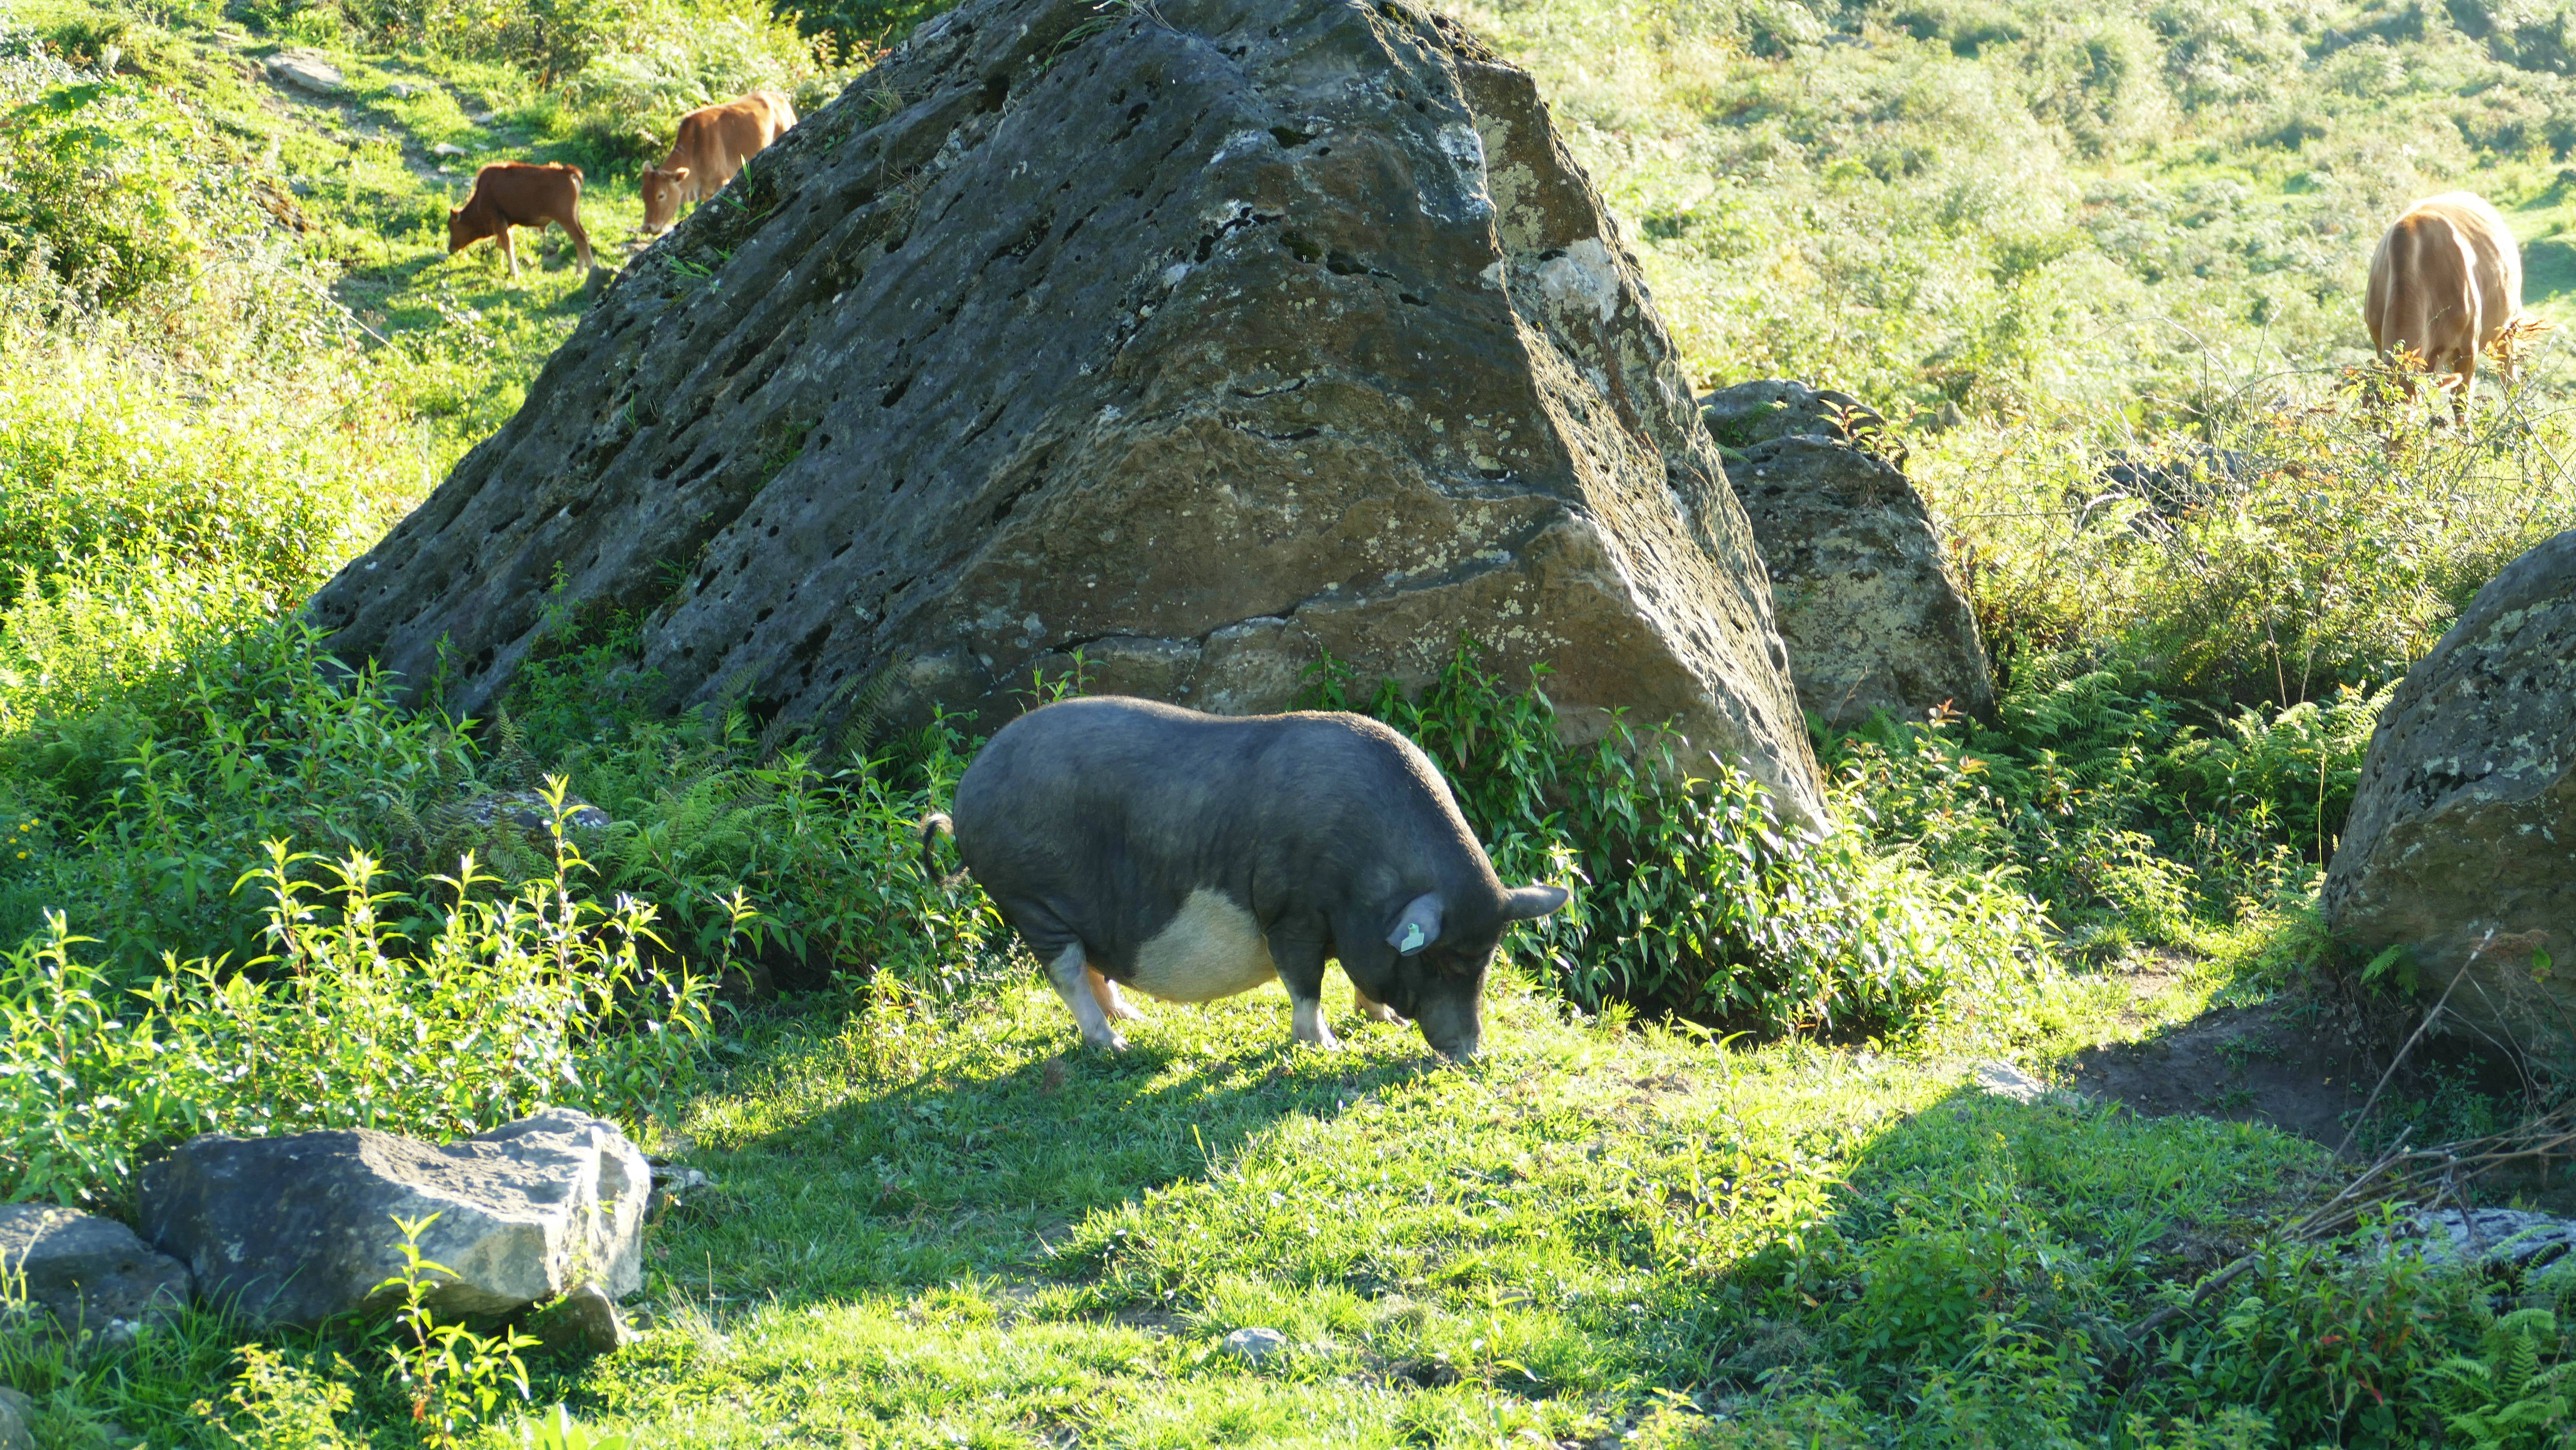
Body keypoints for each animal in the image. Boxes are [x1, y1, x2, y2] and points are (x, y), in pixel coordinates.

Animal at [453, 163, 597, 279]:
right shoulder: (507, 225)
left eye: (452, 226)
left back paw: (589, 271)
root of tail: (568, 171)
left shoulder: (500, 222)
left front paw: (513, 273)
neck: (482, 194)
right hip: (574, 217)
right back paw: (579, 273)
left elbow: (507, 245)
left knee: (581, 240)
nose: (451, 248)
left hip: (566, 220)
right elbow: (503, 244)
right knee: (580, 240)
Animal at [927, 695, 1566, 1061]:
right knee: (1065, 971)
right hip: (1029, 897)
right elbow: (1305, 981)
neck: (1372, 866)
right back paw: (1115, 1045)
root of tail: (964, 798)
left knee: (1090, 963)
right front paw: (1326, 1046)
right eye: (1439, 960)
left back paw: (1136, 1019)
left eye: (1485, 960)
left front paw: (1384, 1019)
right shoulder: (1291, 911)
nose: (1471, 1053)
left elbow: (1358, 972)